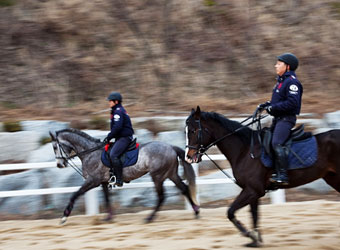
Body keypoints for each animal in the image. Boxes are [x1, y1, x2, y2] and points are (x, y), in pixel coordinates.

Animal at [49, 128, 201, 224]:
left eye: (55, 147)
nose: (59, 164)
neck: (90, 153)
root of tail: (170, 147)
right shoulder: (104, 182)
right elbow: (107, 199)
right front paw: (108, 218)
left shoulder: (93, 181)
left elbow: (75, 194)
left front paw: (64, 216)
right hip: (171, 174)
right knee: (184, 189)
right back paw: (196, 212)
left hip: (157, 177)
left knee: (162, 196)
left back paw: (149, 218)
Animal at [186, 106, 340, 247]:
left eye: (193, 130)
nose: (189, 157)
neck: (245, 151)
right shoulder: (253, 192)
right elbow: (254, 215)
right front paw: (255, 240)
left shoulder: (253, 190)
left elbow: (230, 212)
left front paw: (248, 234)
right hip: (332, 178)